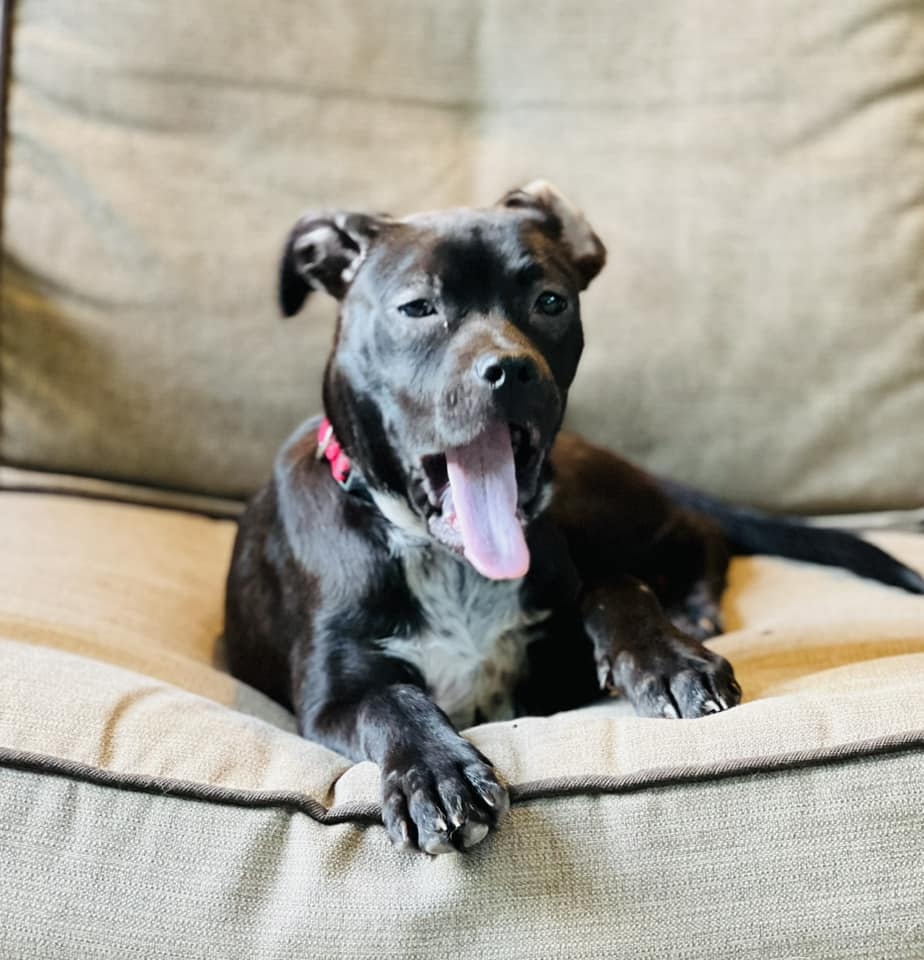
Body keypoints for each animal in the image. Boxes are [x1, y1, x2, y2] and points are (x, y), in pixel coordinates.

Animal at [226, 180, 924, 856]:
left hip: (588, 504)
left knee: (696, 530)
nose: (511, 372)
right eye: (418, 307)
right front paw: (437, 771)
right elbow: (391, 699)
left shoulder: (554, 665)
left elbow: (613, 589)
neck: (449, 562)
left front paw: (669, 658)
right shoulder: (332, 695)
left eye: (550, 302)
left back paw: (694, 605)